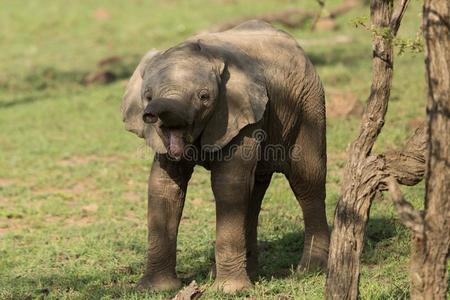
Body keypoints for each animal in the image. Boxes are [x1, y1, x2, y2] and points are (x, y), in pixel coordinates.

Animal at [121, 19, 328, 292]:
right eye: (147, 96)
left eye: (204, 97)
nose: (149, 114)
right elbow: (164, 185)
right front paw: (155, 289)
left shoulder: (241, 114)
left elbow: (227, 184)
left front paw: (230, 290)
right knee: (254, 192)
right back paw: (247, 273)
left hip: (309, 106)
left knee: (307, 181)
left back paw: (310, 270)